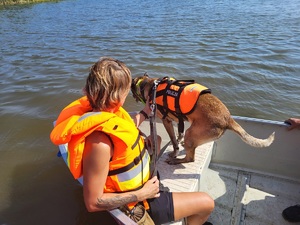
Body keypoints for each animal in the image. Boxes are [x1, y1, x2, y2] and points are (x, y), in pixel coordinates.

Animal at [132, 74, 276, 164]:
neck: (150, 84)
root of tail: (228, 119)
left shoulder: (166, 121)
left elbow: (173, 140)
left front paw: (174, 152)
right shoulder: (178, 121)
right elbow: (179, 135)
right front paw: (179, 142)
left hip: (191, 132)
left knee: (190, 158)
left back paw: (175, 160)